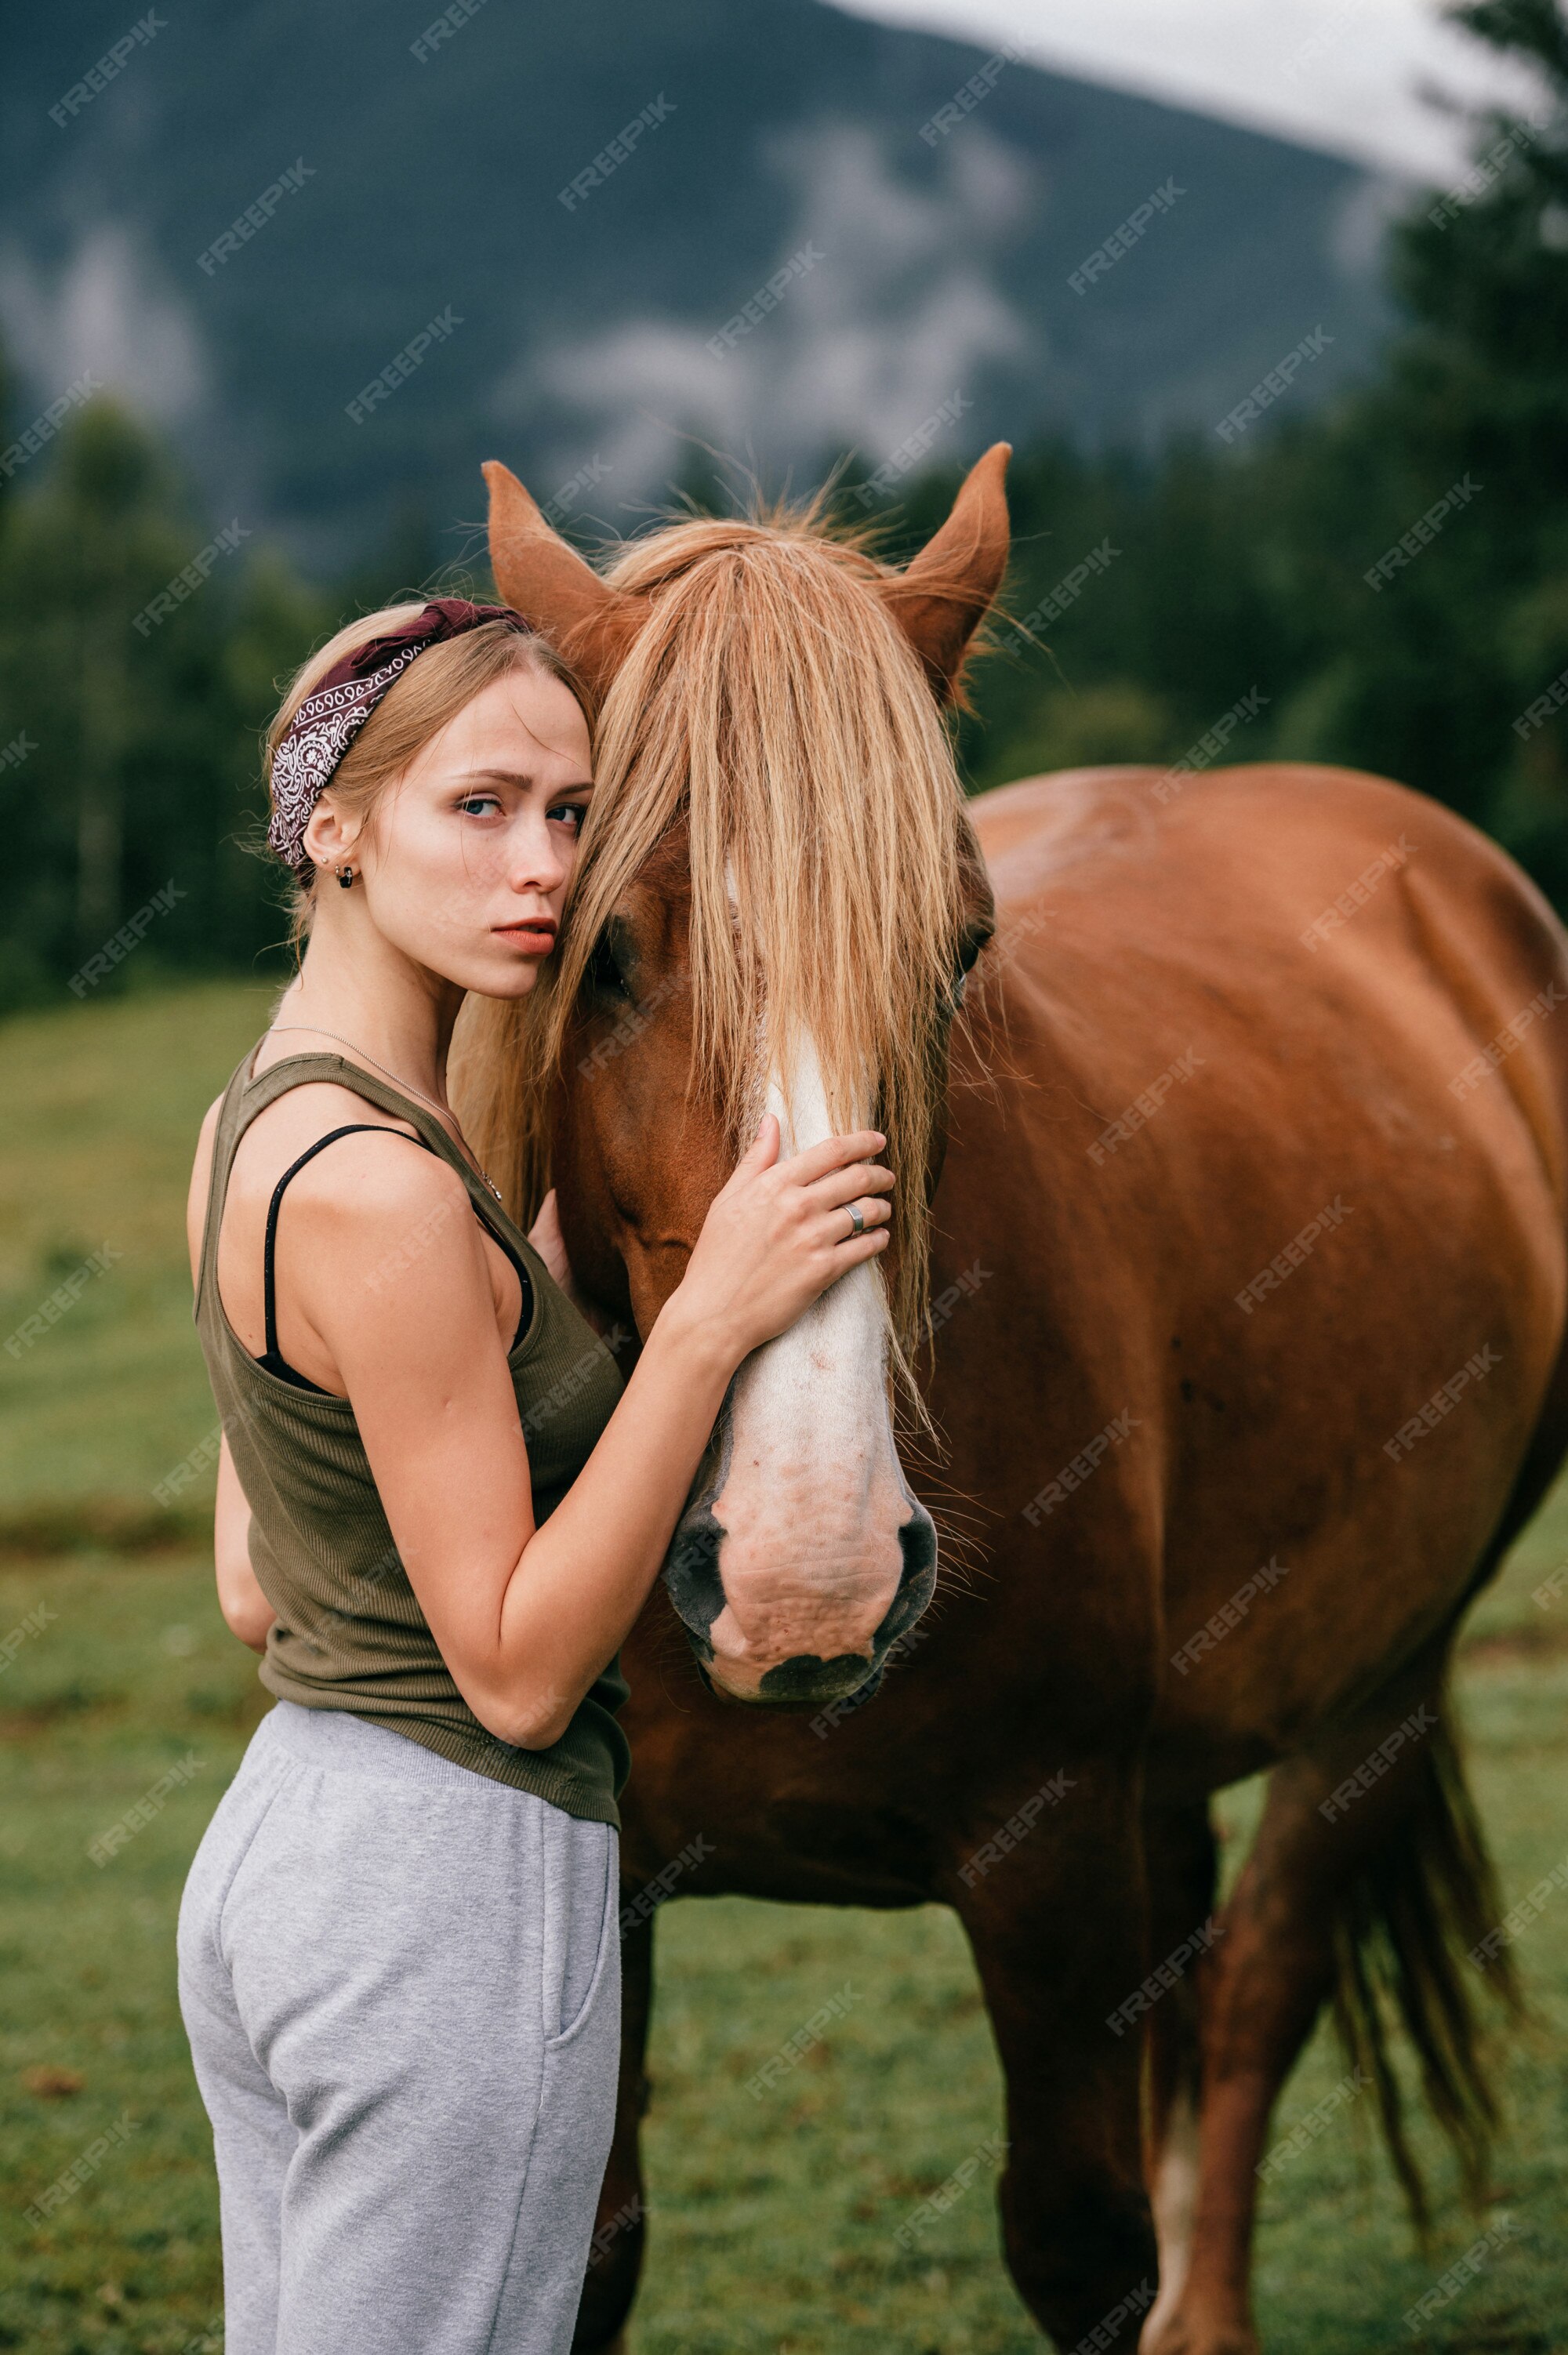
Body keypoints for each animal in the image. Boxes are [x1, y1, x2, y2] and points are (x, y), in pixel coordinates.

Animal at [454, 449, 1563, 2345]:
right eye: (604, 950)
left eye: (959, 951)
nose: (807, 1573)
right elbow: (579, 2251)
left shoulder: (1046, 1857)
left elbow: (1081, 2238)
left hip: (1383, 1674)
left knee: (1255, 1990)